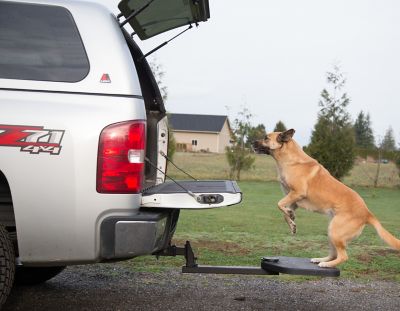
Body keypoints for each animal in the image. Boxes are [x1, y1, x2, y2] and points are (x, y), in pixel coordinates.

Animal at [255, 129, 398, 268]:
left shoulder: (297, 193)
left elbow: (279, 204)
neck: (290, 160)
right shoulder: (293, 200)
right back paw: (320, 260)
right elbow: (285, 213)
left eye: (266, 138)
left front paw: (290, 216)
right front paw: (292, 223)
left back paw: (326, 264)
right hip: (331, 232)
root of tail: (367, 213)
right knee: (334, 254)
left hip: (335, 232)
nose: (252, 142)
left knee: (343, 256)